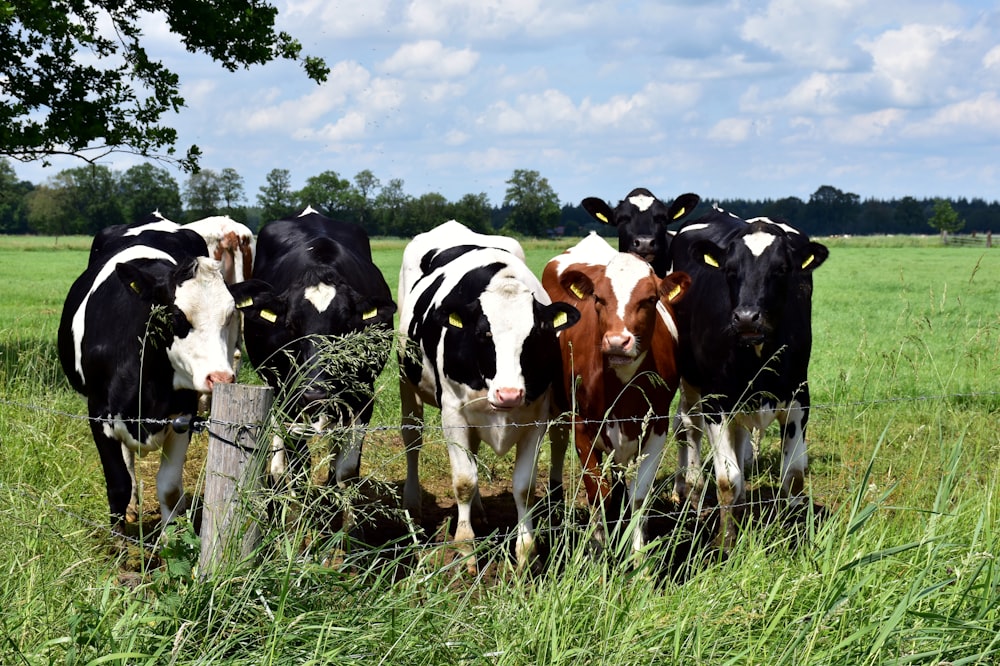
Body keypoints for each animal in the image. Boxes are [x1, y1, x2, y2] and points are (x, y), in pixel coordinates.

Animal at [57, 215, 262, 532]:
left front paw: (169, 538)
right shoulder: (98, 414)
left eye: (229, 316)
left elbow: (169, 488)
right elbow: (118, 485)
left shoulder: (184, 416)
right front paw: (120, 540)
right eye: (177, 316)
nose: (220, 378)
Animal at [234, 202, 394, 524]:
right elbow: (298, 464)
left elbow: (344, 470)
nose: (315, 392)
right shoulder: (287, 397)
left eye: (345, 326)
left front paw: (339, 522)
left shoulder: (363, 397)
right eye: (291, 326)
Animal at [394, 219, 576, 572]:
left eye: (536, 336)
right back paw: (413, 504)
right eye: (483, 333)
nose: (509, 394)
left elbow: (523, 486)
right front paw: (465, 550)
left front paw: (525, 552)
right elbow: (464, 481)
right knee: (412, 438)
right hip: (406, 379)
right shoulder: (452, 413)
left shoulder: (536, 416)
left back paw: (478, 511)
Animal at [544, 232, 692, 556]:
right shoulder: (582, 427)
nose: (616, 341)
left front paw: (637, 553)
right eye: (598, 299)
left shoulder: (657, 425)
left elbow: (639, 494)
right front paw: (598, 549)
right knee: (557, 440)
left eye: (650, 299)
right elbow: (597, 493)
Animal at [664, 205, 828, 548]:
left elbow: (793, 475)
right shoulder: (716, 403)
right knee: (688, 426)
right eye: (729, 271)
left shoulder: (799, 398)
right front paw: (725, 543)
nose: (747, 318)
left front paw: (795, 537)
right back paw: (691, 490)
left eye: (781, 270)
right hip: (691, 382)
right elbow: (728, 479)